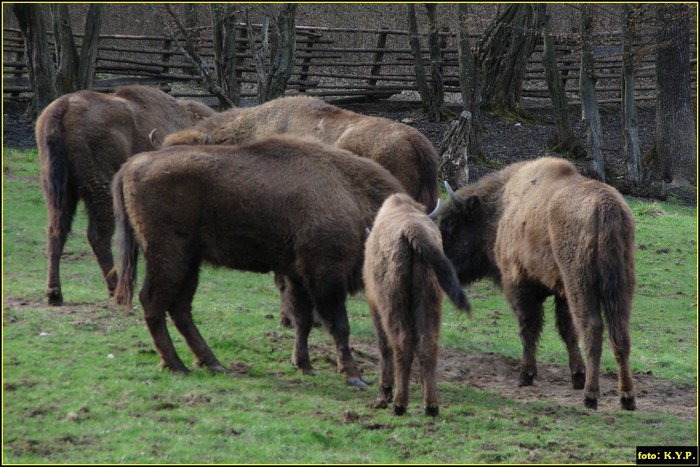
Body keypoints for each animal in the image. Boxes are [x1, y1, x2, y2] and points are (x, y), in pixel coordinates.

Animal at [37, 84, 213, 308]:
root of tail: (64, 107)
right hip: (100, 189)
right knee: (98, 235)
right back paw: (115, 289)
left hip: (58, 189)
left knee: (56, 232)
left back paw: (54, 294)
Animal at [113, 135, 408, 388]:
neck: (351, 194)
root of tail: (132, 165)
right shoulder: (325, 275)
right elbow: (339, 325)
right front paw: (354, 376)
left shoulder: (298, 276)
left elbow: (303, 320)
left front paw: (304, 365)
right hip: (169, 257)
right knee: (153, 302)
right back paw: (177, 366)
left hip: (190, 262)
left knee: (180, 308)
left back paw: (213, 363)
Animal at [364, 192, 474, 418]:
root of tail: (411, 229)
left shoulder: (375, 308)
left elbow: (384, 347)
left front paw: (384, 393)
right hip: (431, 302)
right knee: (427, 345)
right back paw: (431, 405)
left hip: (393, 305)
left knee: (401, 344)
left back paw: (399, 404)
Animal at [440, 159, 636, 412]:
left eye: (451, 224)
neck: (501, 209)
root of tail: (606, 210)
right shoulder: (561, 294)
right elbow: (566, 330)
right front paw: (577, 375)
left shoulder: (518, 284)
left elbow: (529, 328)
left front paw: (526, 375)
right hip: (621, 286)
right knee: (620, 334)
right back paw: (627, 398)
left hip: (581, 286)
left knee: (592, 330)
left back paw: (590, 396)